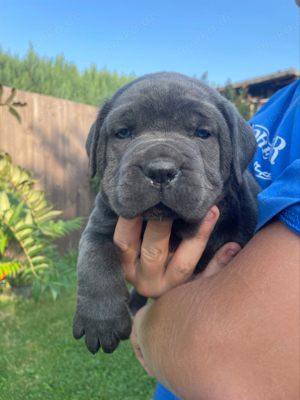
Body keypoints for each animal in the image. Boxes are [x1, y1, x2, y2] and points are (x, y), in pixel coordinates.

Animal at [72, 72, 260, 354]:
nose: (161, 170)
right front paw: (100, 318)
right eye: (123, 133)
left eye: (202, 133)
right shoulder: (101, 221)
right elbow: (95, 256)